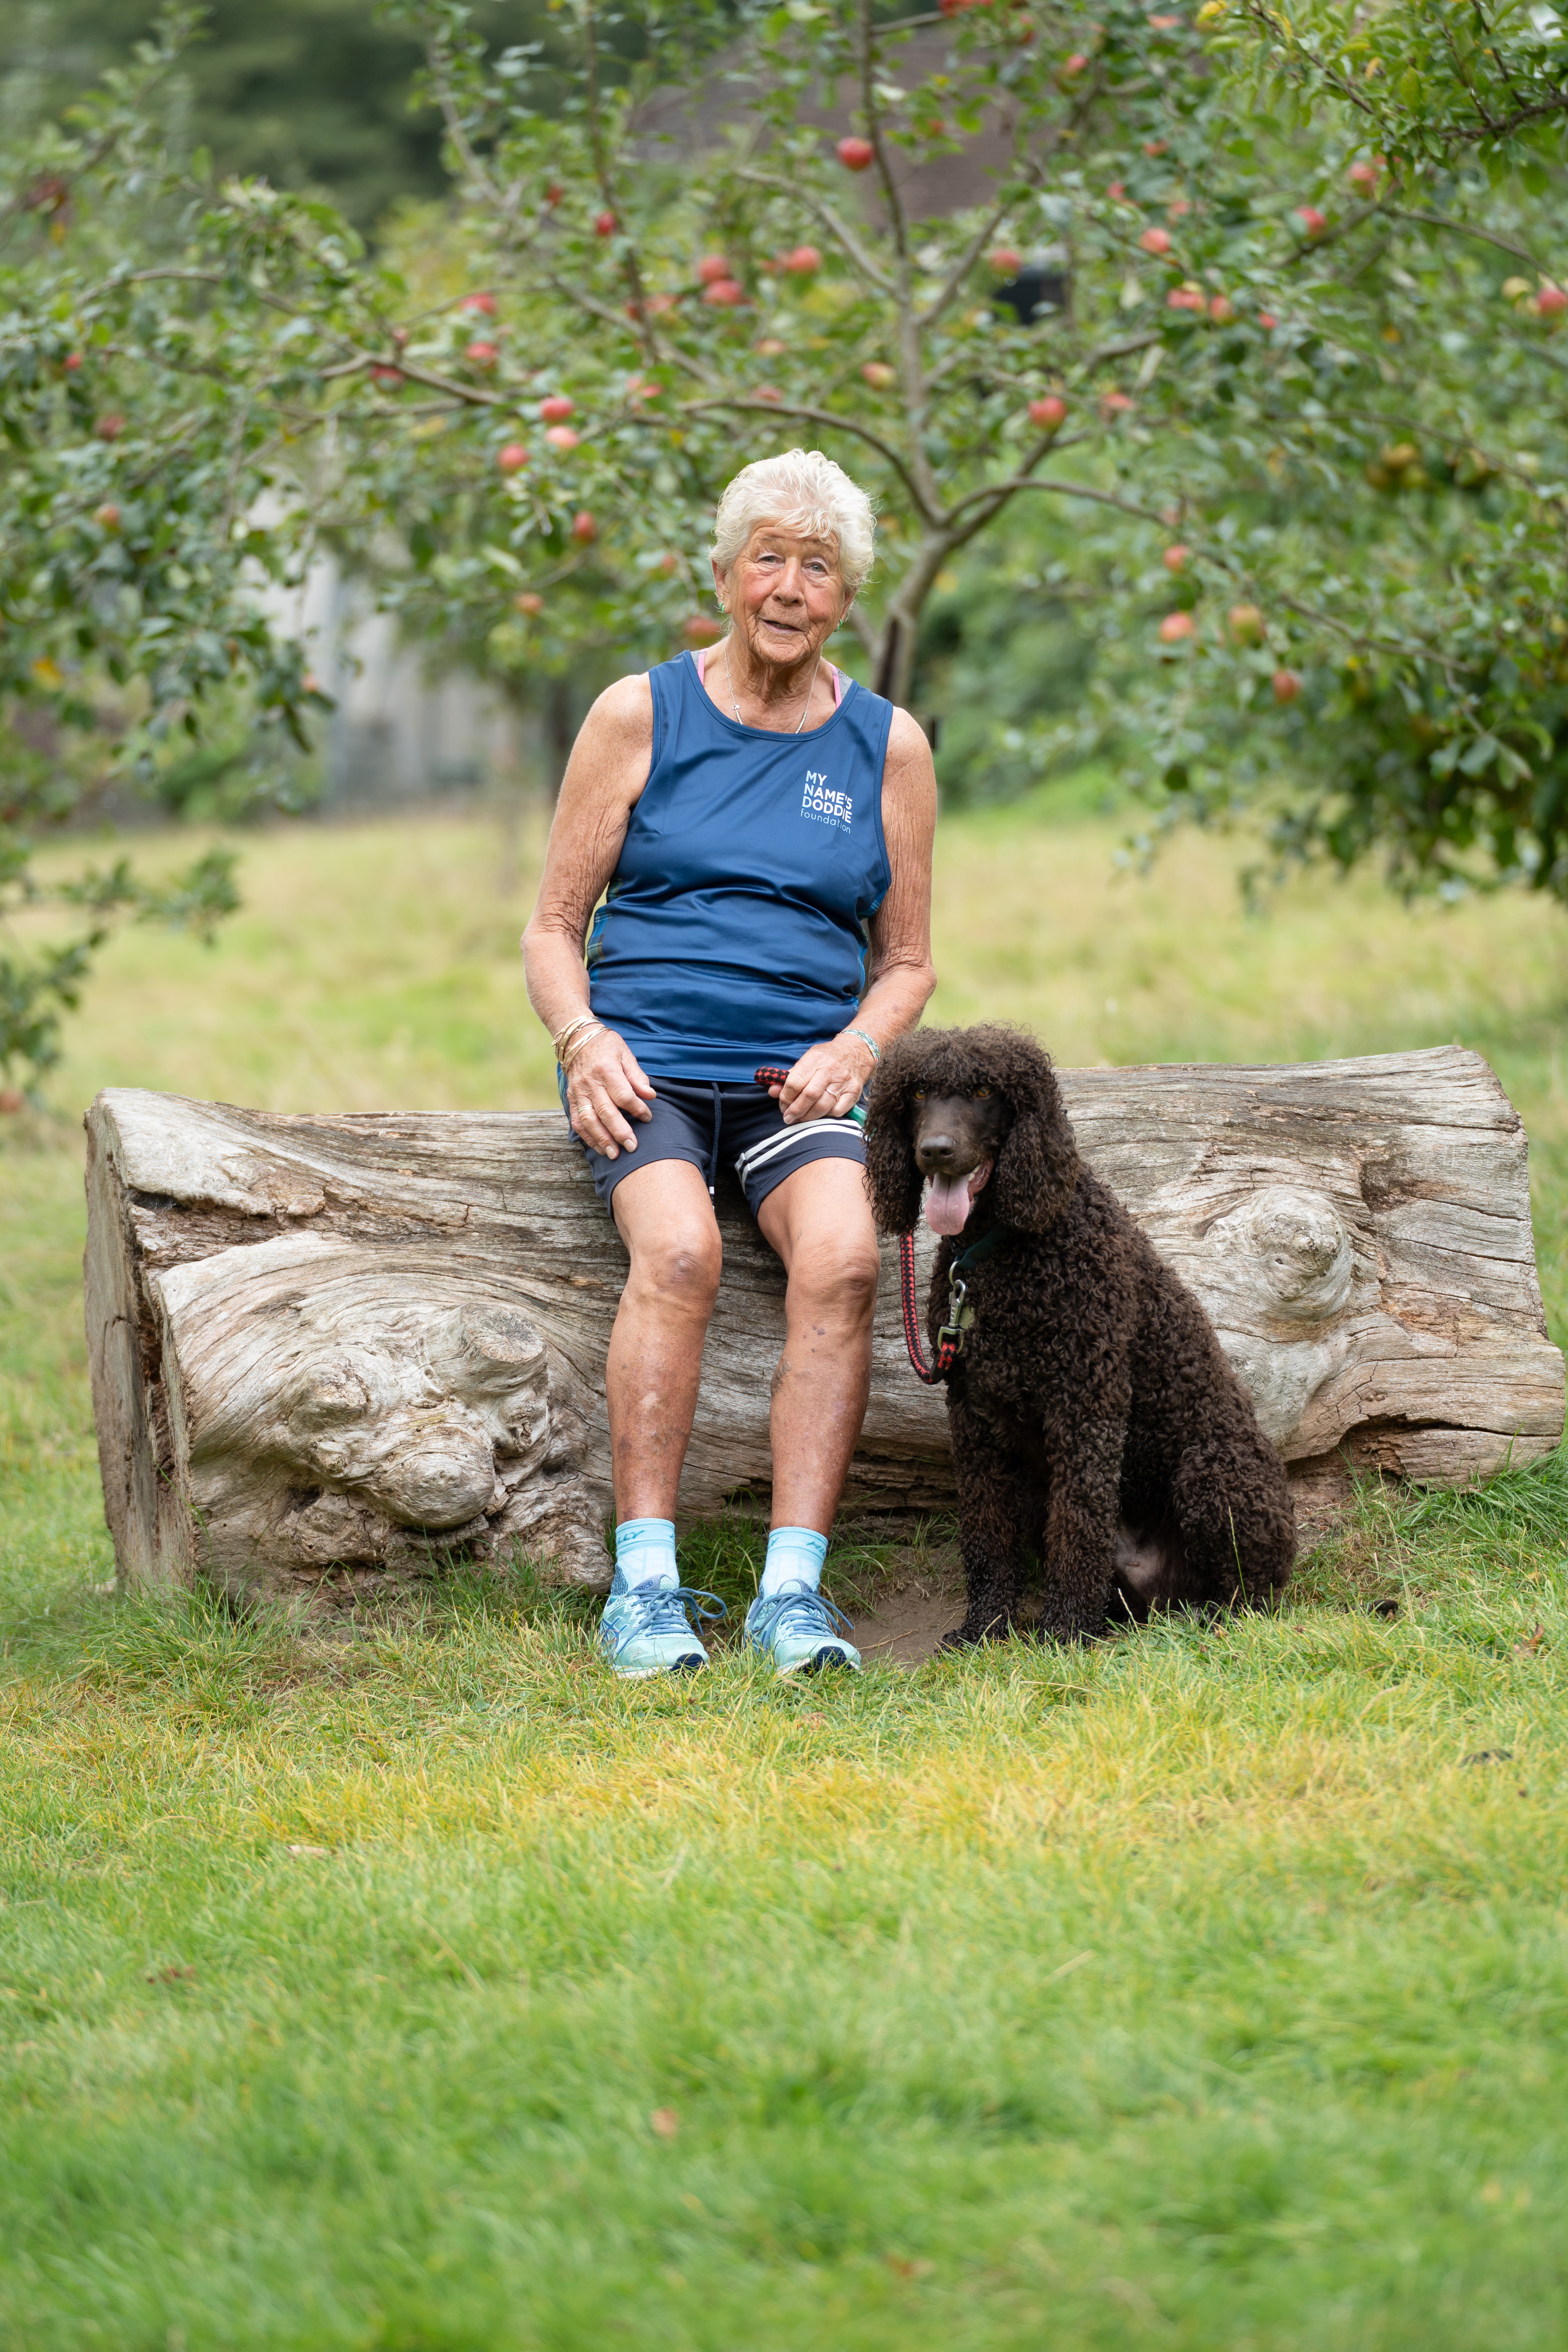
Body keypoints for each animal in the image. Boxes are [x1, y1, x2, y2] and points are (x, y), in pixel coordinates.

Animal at [865, 1020, 1297, 1646]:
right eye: (919, 1093)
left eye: (983, 1091)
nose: (936, 1150)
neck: (1002, 1250)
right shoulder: (975, 1413)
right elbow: (988, 1535)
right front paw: (985, 1626)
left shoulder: (1085, 1404)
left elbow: (1080, 1522)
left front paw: (1063, 1633)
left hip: (1214, 1476)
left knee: (1251, 1594)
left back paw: (1214, 1619)